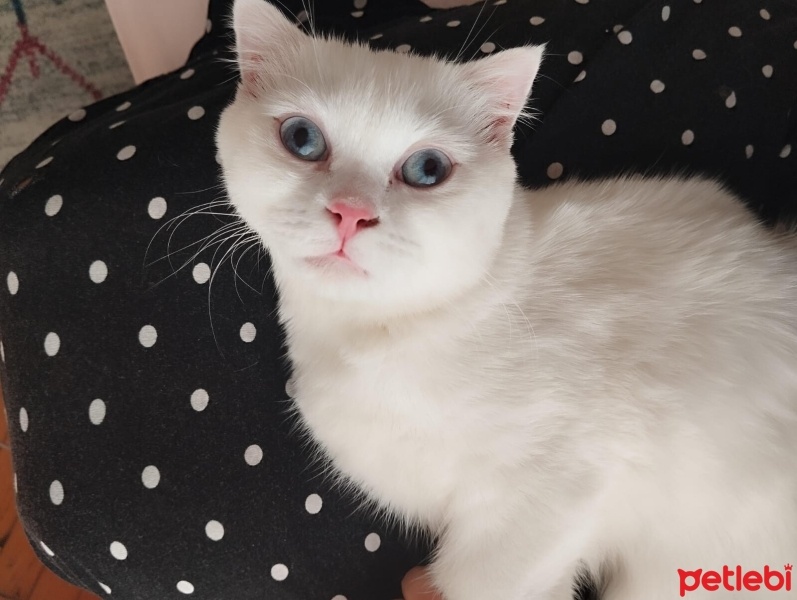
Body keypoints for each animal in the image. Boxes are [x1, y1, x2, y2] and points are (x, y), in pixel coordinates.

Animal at [216, 2, 796, 596]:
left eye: (427, 169)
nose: (351, 212)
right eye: (302, 138)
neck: (379, 337)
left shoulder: (545, 500)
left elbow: (485, 578)